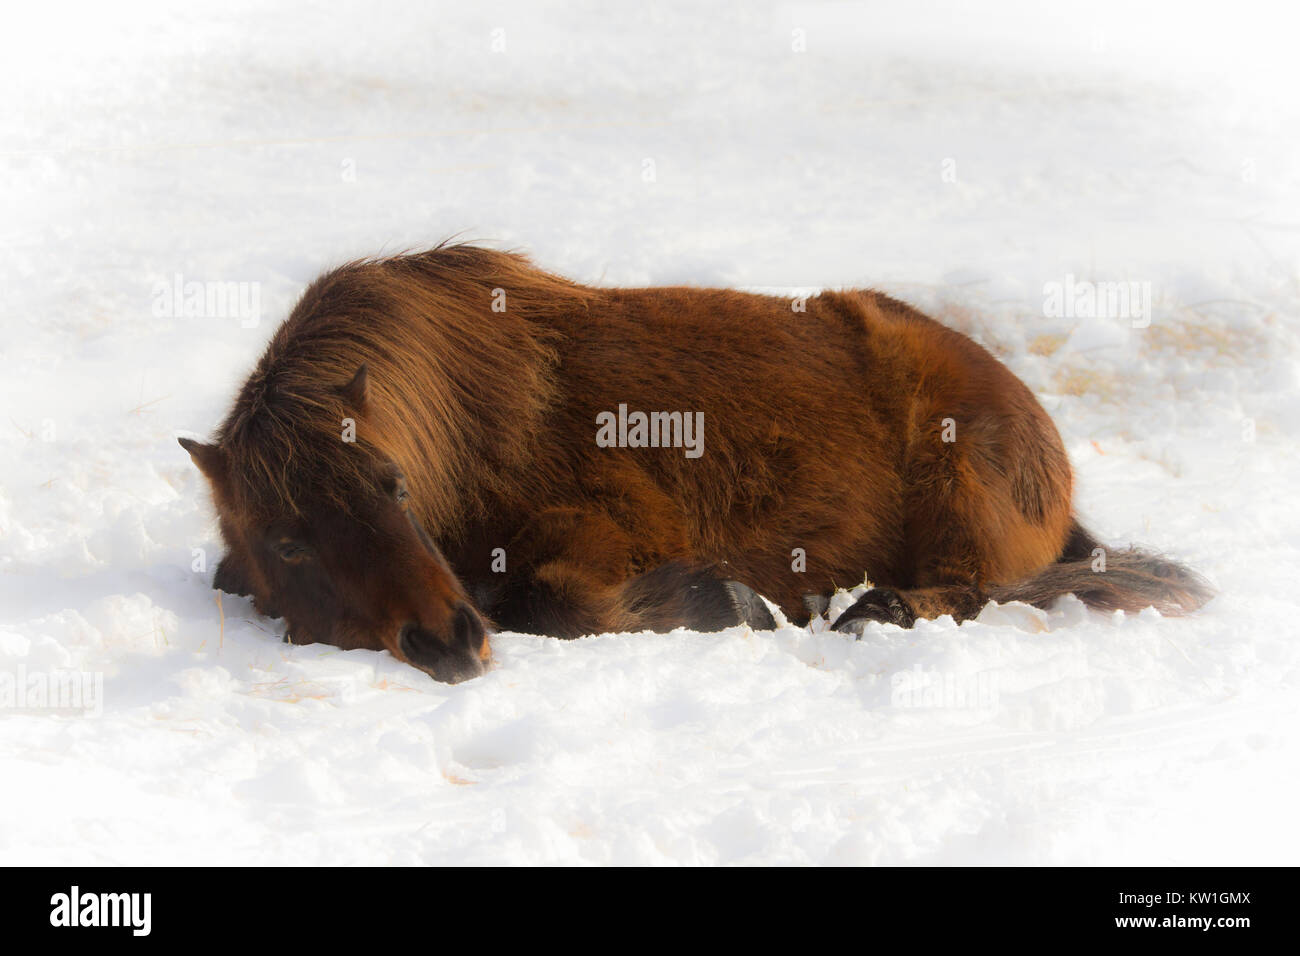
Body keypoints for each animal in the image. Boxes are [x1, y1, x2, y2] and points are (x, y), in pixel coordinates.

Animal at [179, 243, 1211, 682]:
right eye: (289, 544)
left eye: (393, 486)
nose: (449, 642)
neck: (479, 420)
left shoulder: (608, 532)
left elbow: (552, 600)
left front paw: (727, 602)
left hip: (961, 501)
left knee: (976, 591)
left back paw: (871, 611)